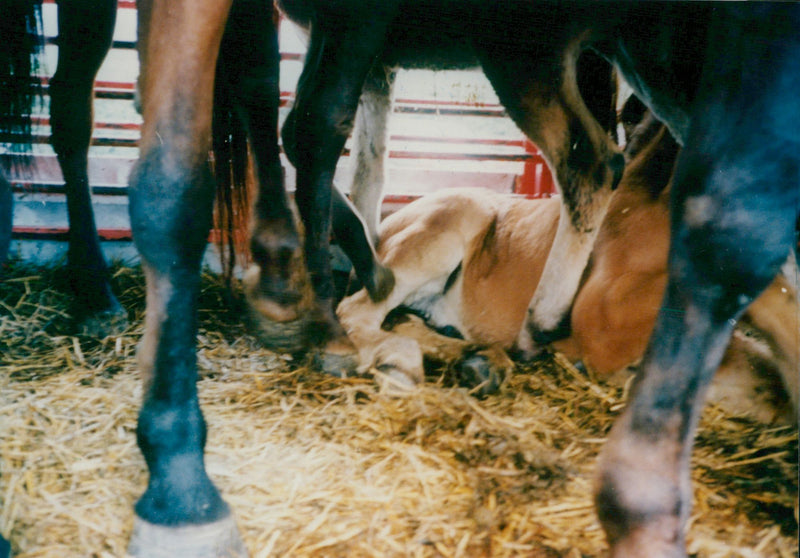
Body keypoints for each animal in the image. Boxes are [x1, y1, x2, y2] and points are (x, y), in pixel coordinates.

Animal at [336, 118, 792, 422]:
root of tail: (382, 228)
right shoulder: (602, 320)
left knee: (405, 321)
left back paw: (480, 361)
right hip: (447, 228)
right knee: (357, 313)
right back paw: (411, 362)